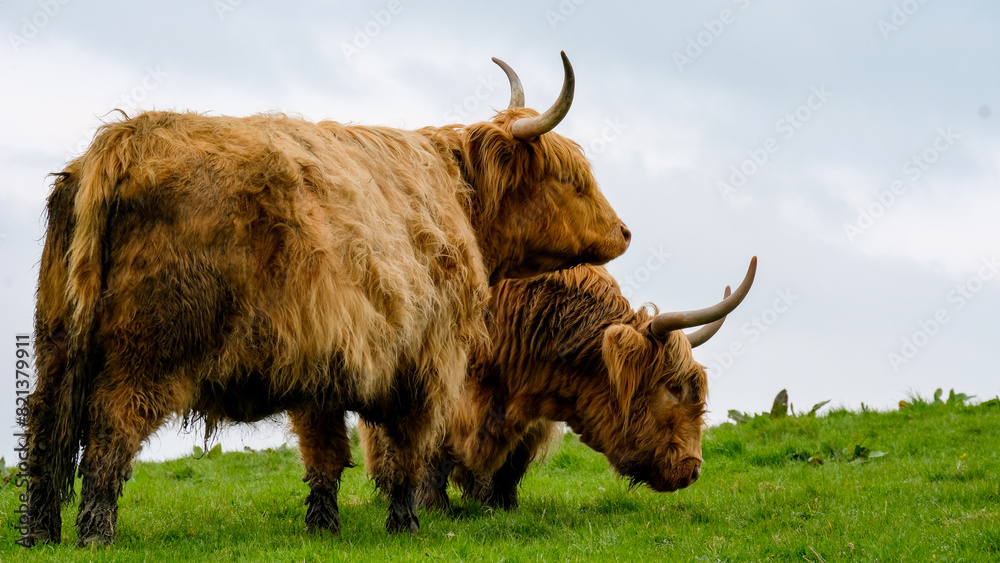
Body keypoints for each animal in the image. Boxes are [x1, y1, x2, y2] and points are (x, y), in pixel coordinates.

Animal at [25, 52, 632, 546]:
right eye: (570, 179)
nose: (624, 232)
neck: (459, 198)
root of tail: (123, 141)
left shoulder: (321, 364)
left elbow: (324, 455)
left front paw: (323, 527)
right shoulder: (426, 364)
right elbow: (406, 451)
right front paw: (406, 525)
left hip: (57, 342)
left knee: (44, 428)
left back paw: (40, 533)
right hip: (149, 350)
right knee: (110, 428)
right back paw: (95, 534)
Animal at [361, 258, 755, 511]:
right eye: (673, 388)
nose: (692, 469)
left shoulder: (531, 410)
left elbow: (514, 459)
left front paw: (502, 504)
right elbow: (433, 447)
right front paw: (433, 504)